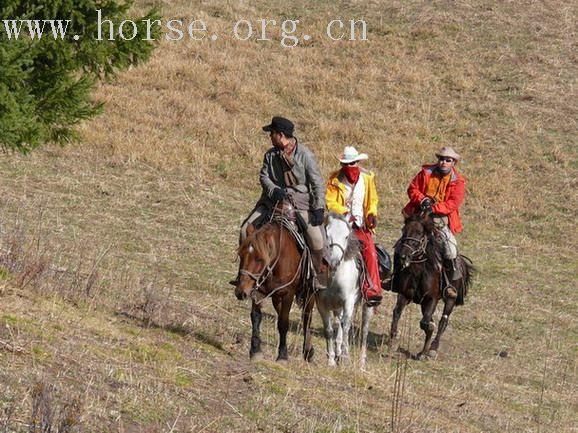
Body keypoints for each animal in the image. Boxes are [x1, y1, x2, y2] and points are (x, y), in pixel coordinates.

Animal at [232, 211, 316, 362]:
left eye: (259, 259)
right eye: (241, 255)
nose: (241, 292)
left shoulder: (288, 294)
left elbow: (283, 323)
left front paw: (282, 356)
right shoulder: (258, 290)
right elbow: (256, 317)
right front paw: (255, 350)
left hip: (309, 292)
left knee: (306, 318)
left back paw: (308, 351)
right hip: (276, 297)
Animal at [316, 211, 374, 366]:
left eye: (346, 236)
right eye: (327, 233)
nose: (334, 261)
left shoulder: (348, 301)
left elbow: (346, 325)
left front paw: (345, 356)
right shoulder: (321, 304)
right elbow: (329, 329)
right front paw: (331, 359)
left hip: (367, 305)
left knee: (364, 330)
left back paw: (361, 361)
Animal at [388, 213, 472, 358]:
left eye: (419, 233)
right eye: (403, 230)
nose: (404, 256)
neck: (418, 271)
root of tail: (461, 261)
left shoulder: (431, 299)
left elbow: (426, 323)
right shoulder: (404, 295)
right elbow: (397, 313)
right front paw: (393, 342)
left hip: (450, 299)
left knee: (443, 321)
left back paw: (433, 348)